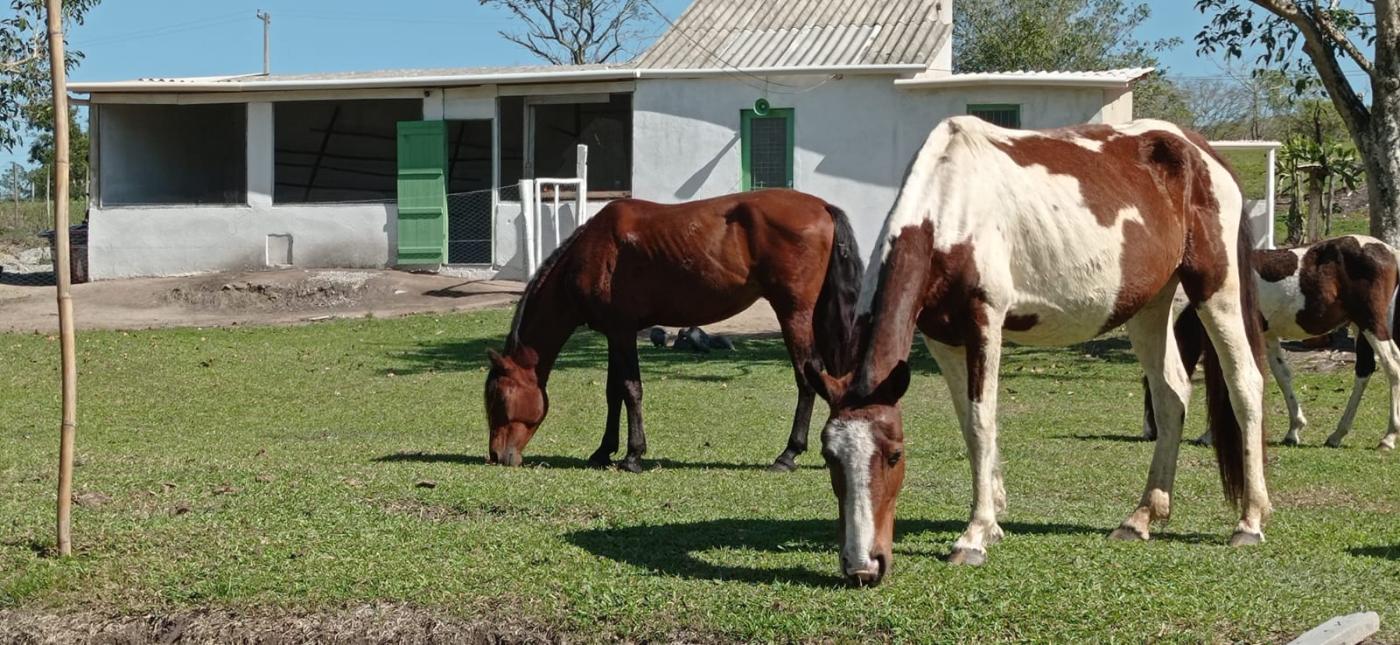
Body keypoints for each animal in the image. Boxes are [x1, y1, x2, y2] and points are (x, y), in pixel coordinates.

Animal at [487, 188, 868, 470]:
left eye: (498, 398)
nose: (496, 455)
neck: (591, 252)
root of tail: (822, 206)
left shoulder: (623, 331)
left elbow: (630, 389)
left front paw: (632, 455)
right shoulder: (613, 333)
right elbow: (613, 391)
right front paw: (603, 451)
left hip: (795, 315)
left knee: (807, 378)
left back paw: (788, 455)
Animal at [806, 115, 1276, 582]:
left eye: (894, 455)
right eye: (829, 456)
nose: (863, 566)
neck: (950, 204)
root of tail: (1199, 150)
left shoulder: (985, 322)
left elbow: (981, 420)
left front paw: (973, 536)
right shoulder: (941, 338)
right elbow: (969, 424)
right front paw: (993, 522)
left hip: (1215, 289)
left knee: (1244, 385)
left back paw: (1249, 521)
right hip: (1150, 305)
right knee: (1170, 395)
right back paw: (1140, 517)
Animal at [1148, 233, 1400, 450]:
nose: (1149, 433)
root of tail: (1389, 252)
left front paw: (1210, 435)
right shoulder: (1268, 337)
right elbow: (1282, 376)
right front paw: (1294, 430)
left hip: (1371, 323)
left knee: (1392, 366)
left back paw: (1388, 438)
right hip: (1360, 326)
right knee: (1365, 370)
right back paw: (1337, 435)